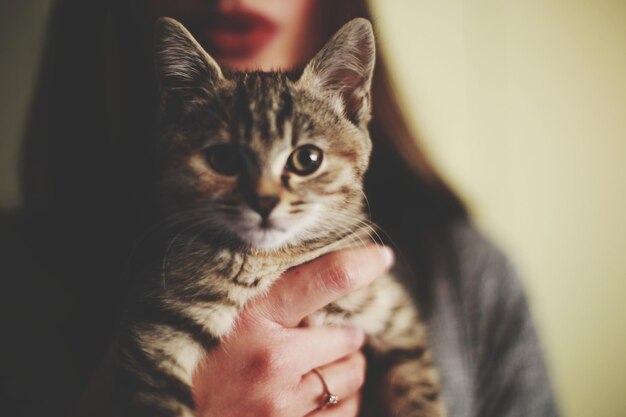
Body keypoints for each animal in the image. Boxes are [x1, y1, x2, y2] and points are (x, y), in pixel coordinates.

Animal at [112, 17, 444, 416]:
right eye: (223, 159)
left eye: (307, 159)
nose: (264, 201)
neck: (272, 258)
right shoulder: (155, 328)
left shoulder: (396, 316)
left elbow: (422, 396)